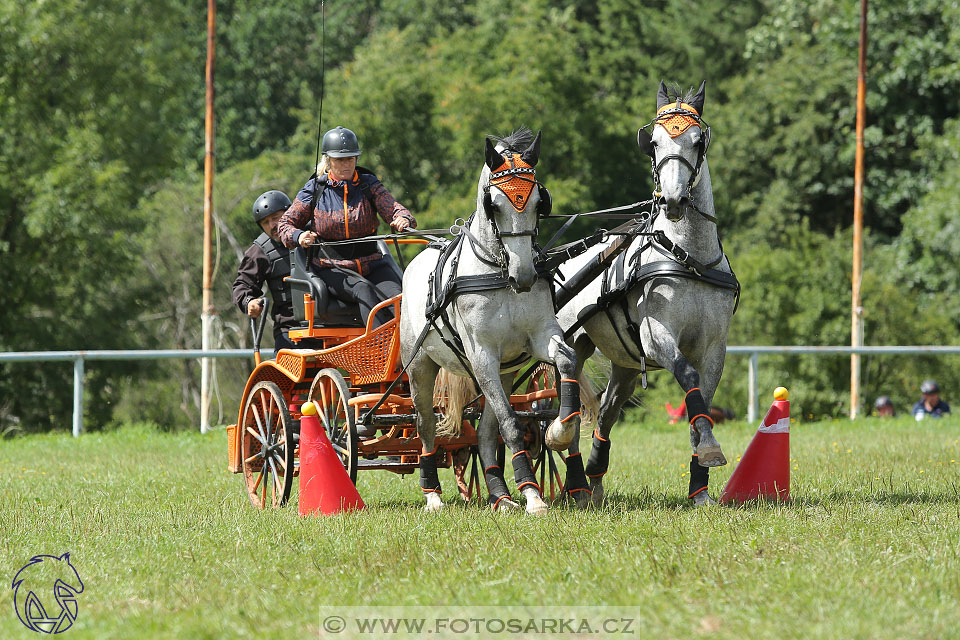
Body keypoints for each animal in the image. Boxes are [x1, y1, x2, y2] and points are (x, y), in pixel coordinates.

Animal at [400, 129, 580, 516]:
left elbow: (567, 361)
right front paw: (533, 497)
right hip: (420, 366)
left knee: (483, 432)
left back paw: (500, 494)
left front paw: (559, 432)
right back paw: (433, 495)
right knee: (425, 425)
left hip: (506, 371)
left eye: (538, 202)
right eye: (493, 204)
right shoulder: (482, 354)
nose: (524, 275)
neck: (497, 274)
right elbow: (511, 425)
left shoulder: (539, 336)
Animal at [560, 82, 740, 508]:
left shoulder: (714, 348)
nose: (673, 201)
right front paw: (710, 451)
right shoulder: (658, 336)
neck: (687, 257)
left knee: (606, 413)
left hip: (625, 364)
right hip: (570, 345)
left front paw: (700, 485)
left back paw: (594, 478)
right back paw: (575, 483)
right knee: (568, 410)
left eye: (698, 141)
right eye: (654, 142)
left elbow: (700, 404)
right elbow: (687, 376)